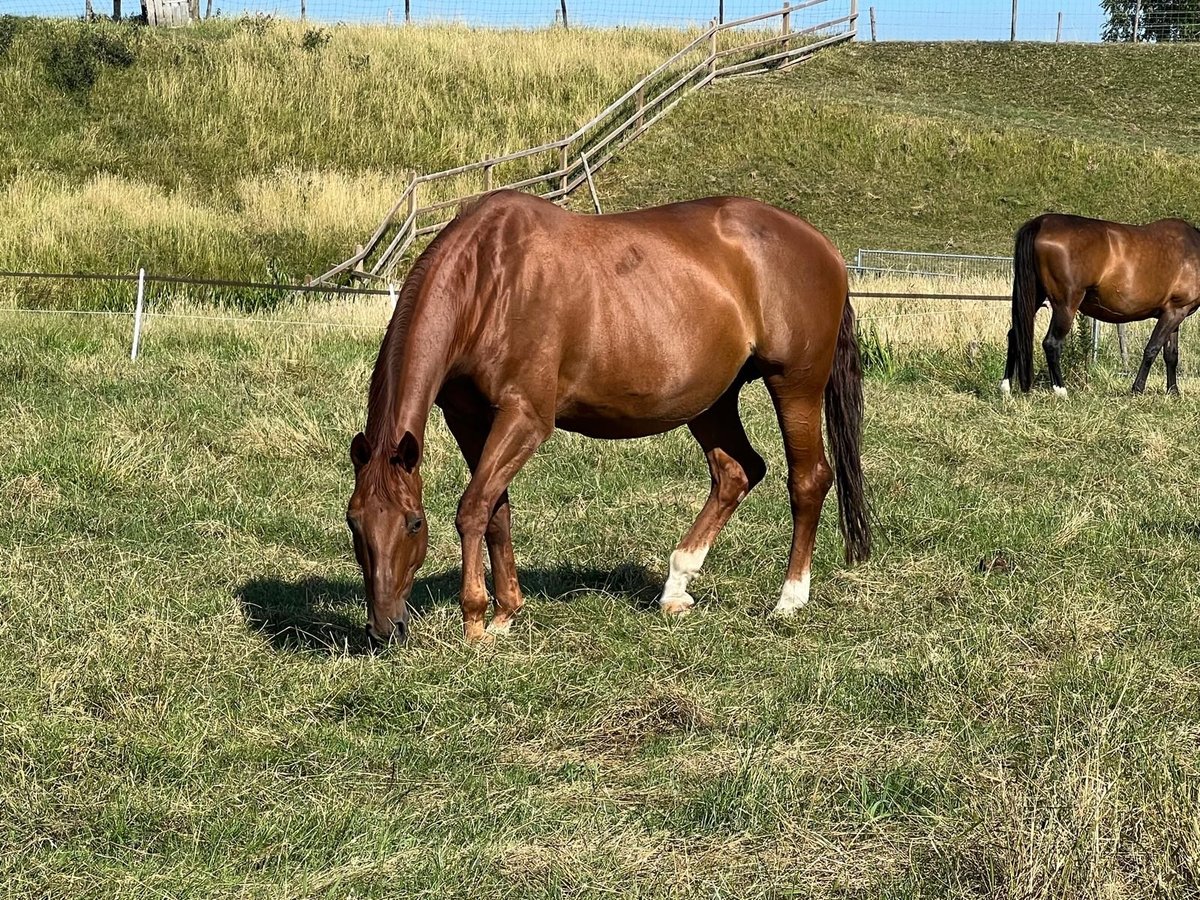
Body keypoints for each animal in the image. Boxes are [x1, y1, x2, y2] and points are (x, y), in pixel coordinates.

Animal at [343, 190, 868, 643]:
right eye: (354, 523)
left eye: (413, 523)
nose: (384, 628)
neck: (489, 283)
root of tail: (823, 247)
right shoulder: (467, 420)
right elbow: (496, 511)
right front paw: (506, 611)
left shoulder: (525, 419)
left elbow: (473, 508)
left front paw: (475, 618)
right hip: (711, 401)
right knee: (737, 472)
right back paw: (676, 586)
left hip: (795, 385)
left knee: (808, 479)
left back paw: (789, 600)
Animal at [998, 214, 1200, 398]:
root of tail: (1041, 223)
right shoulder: (1174, 312)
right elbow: (1152, 349)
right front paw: (1137, 389)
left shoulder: (1174, 313)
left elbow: (1171, 355)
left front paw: (1173, 392)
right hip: (1066, 305)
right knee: (1051, 343)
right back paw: (1061, 391)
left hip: (1034, 297)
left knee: (1015, 334)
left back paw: (1006, 387)